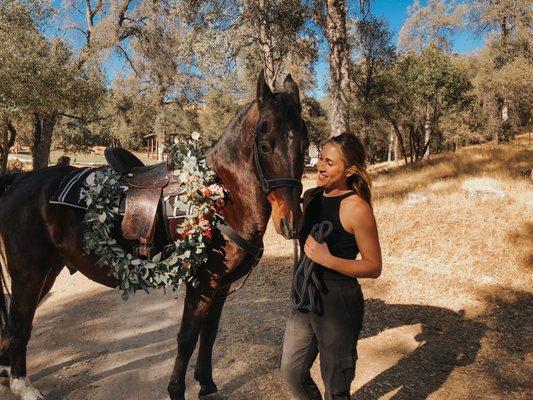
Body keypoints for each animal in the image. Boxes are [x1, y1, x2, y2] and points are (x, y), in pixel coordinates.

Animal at [0, 72, 308, 400]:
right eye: (264, 145)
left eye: (305, 143)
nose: (291, 222)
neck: (220, 197)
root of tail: (19, 179)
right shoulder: (203, 284)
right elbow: (188, 336)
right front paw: (176, 389)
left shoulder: (222, 287)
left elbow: (209, 334)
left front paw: (206, 384)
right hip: (29, 274)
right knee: (19, 324)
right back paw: (22, 385)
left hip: (47, 272)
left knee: (16, 326)